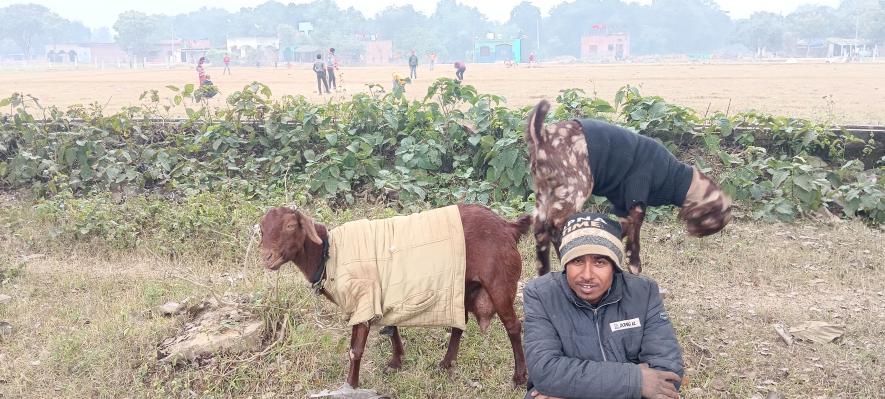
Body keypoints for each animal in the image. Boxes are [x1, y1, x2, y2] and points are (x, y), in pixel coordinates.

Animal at [258, 205, 528, 390]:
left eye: (290, 226)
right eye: (261, 229)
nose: (267, 258)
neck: (329, 253)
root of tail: (508, 227)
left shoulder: (364, 297)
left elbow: (355, 350)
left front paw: (351, 385)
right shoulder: (384, 294)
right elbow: (391, 327)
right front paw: (397, 361)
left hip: (499, 283)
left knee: (513, 326)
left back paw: (519, 378)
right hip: (460, 284)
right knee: (459, 323)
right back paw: (446, 364)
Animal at [524, 99, 732, 276]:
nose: (692, 233)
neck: (676, 176)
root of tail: (542, 136)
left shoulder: (622, 204)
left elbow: (622, 228)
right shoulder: (636, 195)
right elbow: (635, 234)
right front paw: (634, 265)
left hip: (543, 192)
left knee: (540, 229)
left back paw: (544, 271)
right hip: (576, 188)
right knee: (555, 225)